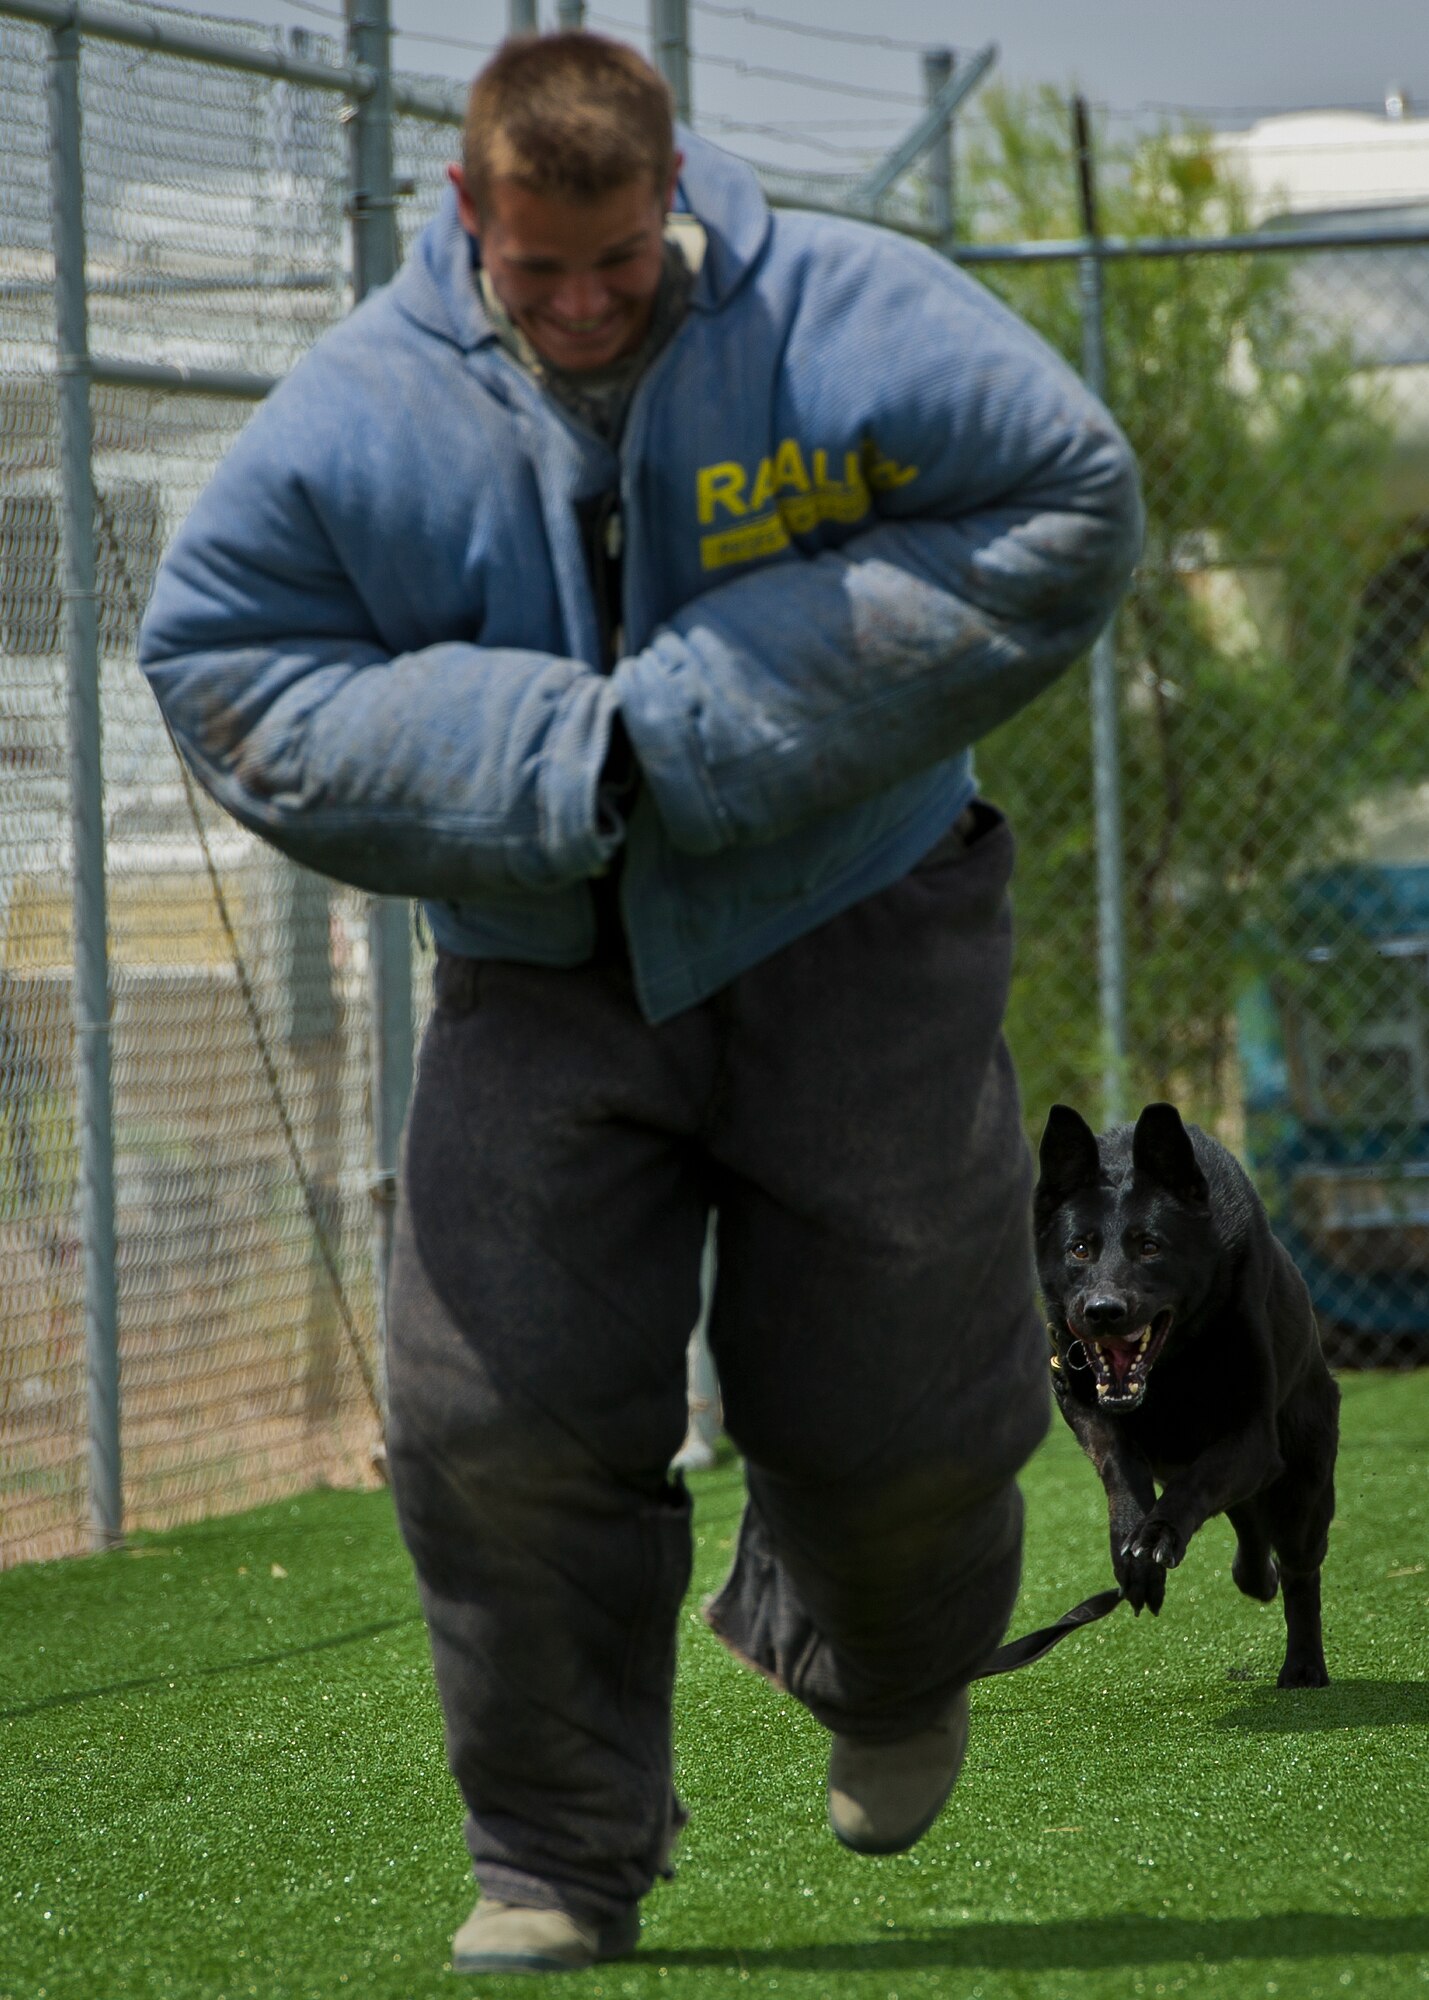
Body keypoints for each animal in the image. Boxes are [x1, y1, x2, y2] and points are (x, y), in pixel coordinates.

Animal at [1032, 1104, 1328, 1680]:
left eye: (1150, 1247)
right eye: (1079, 1249)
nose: (1103, 1311)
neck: (1169, 1370)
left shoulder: (1251, 1436)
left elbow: (1195, 1484)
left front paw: (1156, 1537)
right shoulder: (1080, 1401)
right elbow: (1119, 1463)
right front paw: (1131, 1547)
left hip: (1303, 1486)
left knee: (1300, 1571)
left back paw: (1304, 1666)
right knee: (1251, 1532)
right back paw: (1253, 1573)